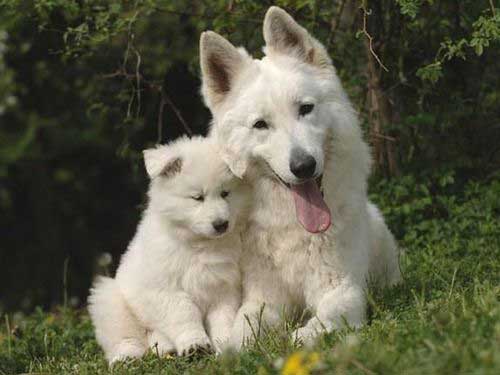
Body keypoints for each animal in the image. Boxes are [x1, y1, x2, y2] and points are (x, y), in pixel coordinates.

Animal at [87, 137, 250, 362]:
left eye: (225, 193)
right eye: (197, 197)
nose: (221, 224)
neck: (198, 244)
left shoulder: (223, 288)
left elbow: (223, 319)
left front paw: (225, 348)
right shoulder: (166, 289)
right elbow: (184, 314)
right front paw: (195, 345)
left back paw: (165, 348)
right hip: (111, 299)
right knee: (125, 336)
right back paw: (127, 357)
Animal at [199, 5, 402, 350]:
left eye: (305, 109)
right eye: (261, 125)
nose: (303, 166)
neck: (293, 228)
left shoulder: (344, 289)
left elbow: (329, 315)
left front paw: (301, 336)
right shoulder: (263, 298)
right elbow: (243, 329)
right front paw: (235, 348)